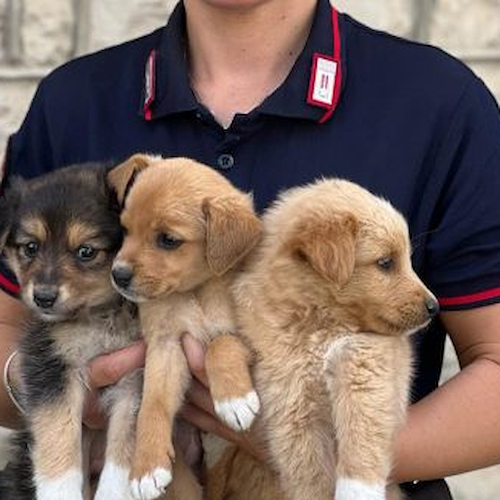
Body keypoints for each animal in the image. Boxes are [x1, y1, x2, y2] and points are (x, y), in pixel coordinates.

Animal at [0, 165, 141, 500]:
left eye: (86, 251)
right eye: (31, 247)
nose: (43, 297)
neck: (100, 314)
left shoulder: (139, 376)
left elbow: (126, 445)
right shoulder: (49, 363)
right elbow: (57, 432)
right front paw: (60, 492)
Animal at [106, 155, 262, 500]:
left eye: (168, 240)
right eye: (125, 229)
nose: (118, 275)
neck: (195, 292)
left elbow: (220, 345)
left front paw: (233, 400)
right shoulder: (165, 347)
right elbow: (152, 405)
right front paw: (147, 466)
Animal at [217, 179, 440, 500]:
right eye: (386, 263)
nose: (435, 307)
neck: (319, 326)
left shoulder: (371, 361)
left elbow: (362, 420)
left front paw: (358, 489)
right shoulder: (290, 404)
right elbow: (308, 475)